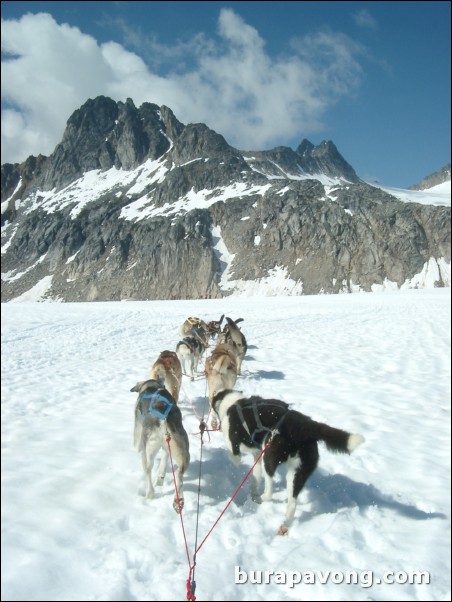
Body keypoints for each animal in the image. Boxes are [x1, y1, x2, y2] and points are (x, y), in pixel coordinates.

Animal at [131, 378, 189, 508]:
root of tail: (163, 420)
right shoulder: (167, 449)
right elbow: (164, 461)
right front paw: (160, 479)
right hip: (183, 449)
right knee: (179, 472)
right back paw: (178, 500)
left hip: (148, 450)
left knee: (148, 469)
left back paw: (149, 494)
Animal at [212, 390, 364, 536]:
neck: (233, 403)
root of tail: (305, 425)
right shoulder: (257, 455)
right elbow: (255, 476)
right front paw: (252, 492)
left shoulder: (238, 445)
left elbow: (235, 455)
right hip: (297, 472)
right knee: (292, 504)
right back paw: (284, 525)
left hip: (269, 455)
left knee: (270, 490)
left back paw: (262, 498)